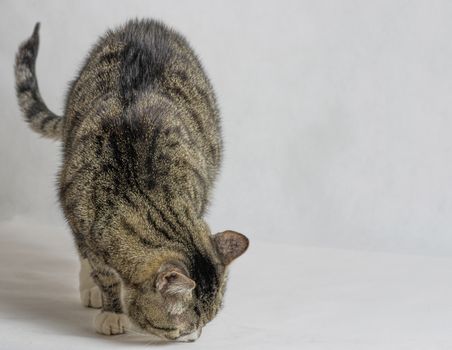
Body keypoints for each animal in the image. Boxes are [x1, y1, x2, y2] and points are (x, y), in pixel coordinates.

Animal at [14, 18, 249, 342]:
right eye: (179, 329)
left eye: (208, 321)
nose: (195, 337)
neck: (144, 195)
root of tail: (146, 24)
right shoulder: (79, 216)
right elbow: (103, 272)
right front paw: (112, 310)